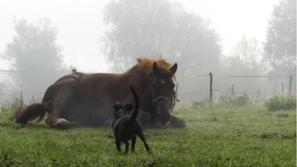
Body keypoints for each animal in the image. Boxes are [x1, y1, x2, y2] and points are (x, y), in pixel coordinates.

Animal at [15, 58, 185, 129]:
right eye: (154, 85)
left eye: (171, 86)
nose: (164, 115)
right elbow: (140, 119)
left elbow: (181, 122)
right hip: (67, 88)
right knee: (51, 118)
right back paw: (63, 123)